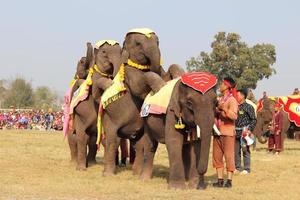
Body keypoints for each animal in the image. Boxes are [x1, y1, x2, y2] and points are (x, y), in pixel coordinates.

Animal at [68, 41, 123, 170]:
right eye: (104, 52)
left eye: (121, 51)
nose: (88, 43)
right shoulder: (80, 113)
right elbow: (81, 137)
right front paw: (81, 169)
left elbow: (107, 138)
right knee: (73, 138)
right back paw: (75, 163)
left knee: (92, 140)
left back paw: (91, 162)